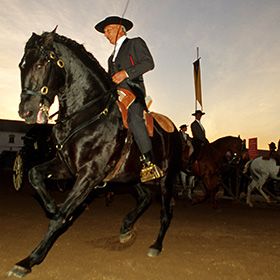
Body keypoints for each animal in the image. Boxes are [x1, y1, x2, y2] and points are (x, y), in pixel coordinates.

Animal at [8, 29, 180, 276]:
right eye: (22, 65)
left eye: (40, 64)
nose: (26, 111)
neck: (87, 114)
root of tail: (174, 129)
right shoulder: (66, 167)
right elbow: (34, 175)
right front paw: (51, 207)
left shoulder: (89, 176)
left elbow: (60, 218)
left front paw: (28, 260)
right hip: (130, 176)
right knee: (146, 197)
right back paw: (126, 228)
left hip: (167, 177)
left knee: (166, 211)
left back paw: (156, 245)